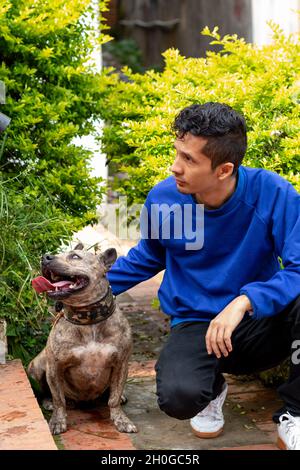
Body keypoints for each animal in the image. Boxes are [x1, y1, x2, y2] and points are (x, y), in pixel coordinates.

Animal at [27, 244, 137, 436]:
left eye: (75, 256)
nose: (45, 257)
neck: (88, 319)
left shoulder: (121, 364)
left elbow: (114, 398)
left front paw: (121, 420)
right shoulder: (54, 366)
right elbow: (59, 399)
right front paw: (58, 421)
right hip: (37, 366)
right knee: (49, 393)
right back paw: (48, 402)